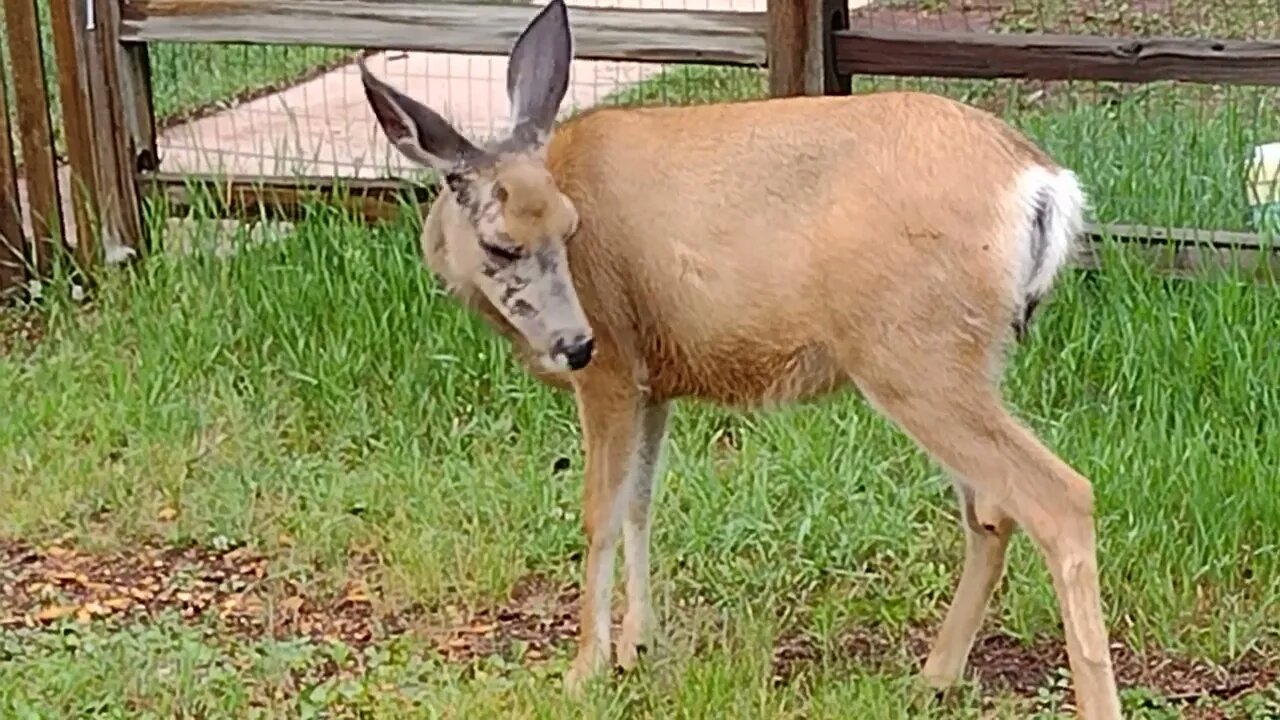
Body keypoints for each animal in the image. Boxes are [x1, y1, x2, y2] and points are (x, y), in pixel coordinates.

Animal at [358, 0, 1121, 712]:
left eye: (570, 230)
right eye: (503, 244)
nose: (573, 343)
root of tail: (1043, 183)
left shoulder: (614, 363)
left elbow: (600, 511)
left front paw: (584, 670)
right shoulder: (652, 375)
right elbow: (640, 503)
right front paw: (637, 645)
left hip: (913, 352)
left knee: (1059, 497)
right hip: (959, 357)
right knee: (992, 511)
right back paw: (933, 675)